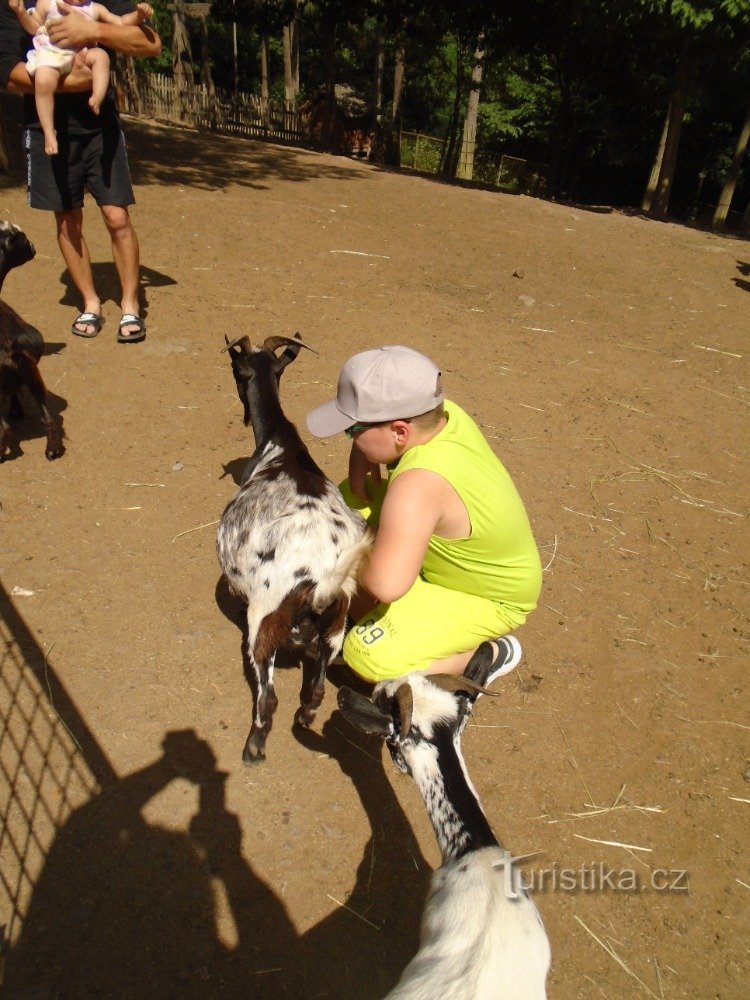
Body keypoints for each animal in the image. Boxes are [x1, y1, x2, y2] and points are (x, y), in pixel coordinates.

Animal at [217, 332, 374, 760]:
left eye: (235, 370)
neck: (280, 444)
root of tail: (318, 583)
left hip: (265, 617)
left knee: (268, 697)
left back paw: (254, 747)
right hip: (337, 623)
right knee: (318, 685)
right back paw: (305, 713)